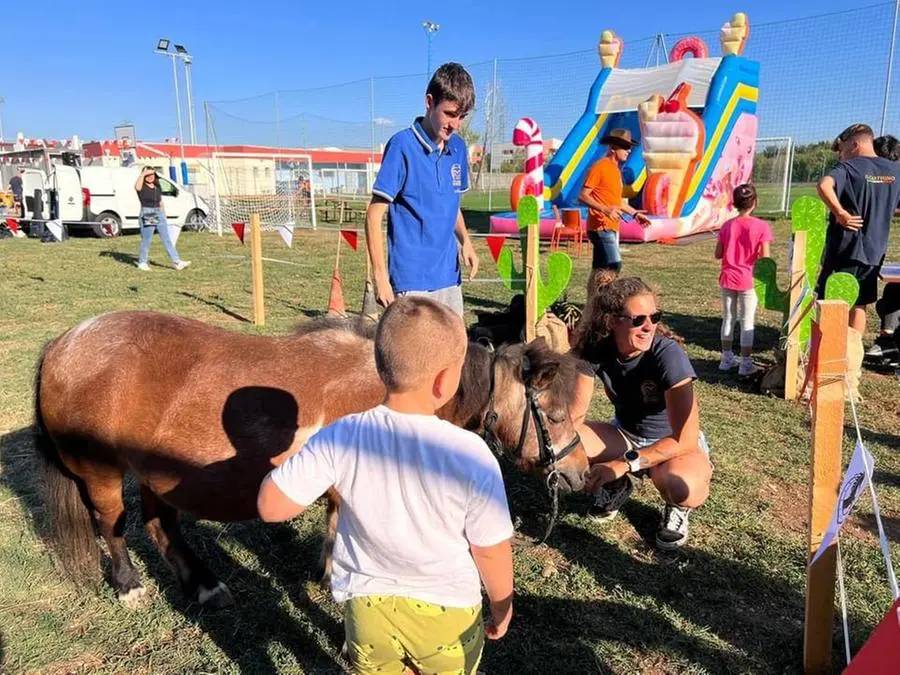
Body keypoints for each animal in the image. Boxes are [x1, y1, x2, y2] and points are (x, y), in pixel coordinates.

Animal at [33, 314, 592, 608]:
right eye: (556, 415)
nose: (581, 473)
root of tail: (66, 342)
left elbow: (333, 528)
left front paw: (326, 575)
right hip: (101, 473)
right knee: (112, 523)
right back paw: (129, 584)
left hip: (156, 473)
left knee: (160, 525)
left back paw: (204, 585)